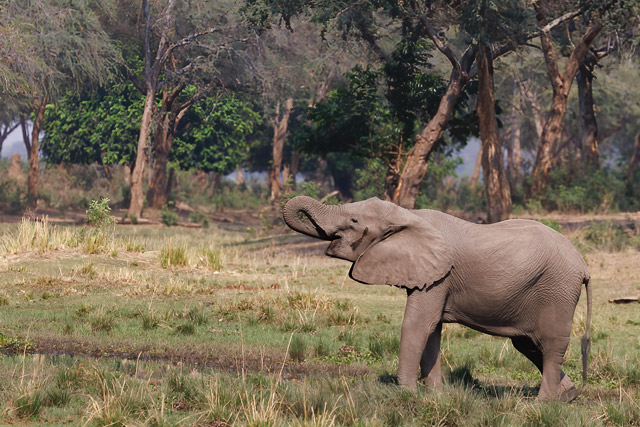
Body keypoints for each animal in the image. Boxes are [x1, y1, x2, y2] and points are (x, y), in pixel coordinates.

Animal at [282, 196, 592, 401]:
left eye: (354, 221)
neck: (408, 215)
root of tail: (583, 265)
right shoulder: (432, 277)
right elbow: (432, 330)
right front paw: (436, 397)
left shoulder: (440, 275)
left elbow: (417, 325)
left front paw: (407, 395)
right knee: (527, 343)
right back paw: (568, 396)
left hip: (558, 289)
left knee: (550, 344)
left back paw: (542, 405)